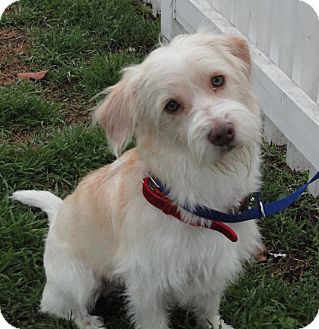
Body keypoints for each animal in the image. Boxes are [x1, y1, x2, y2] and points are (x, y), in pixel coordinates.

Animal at [12, 32, 262, 328]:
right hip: (78, 280)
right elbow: (154, 321)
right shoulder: (147, 286)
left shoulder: (215, 267)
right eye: (171, 106)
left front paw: (215, 324)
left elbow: (208, 308)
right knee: (59, 307)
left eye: (217, 80)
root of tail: (57, 214)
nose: (222, 133)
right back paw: (89, 322)